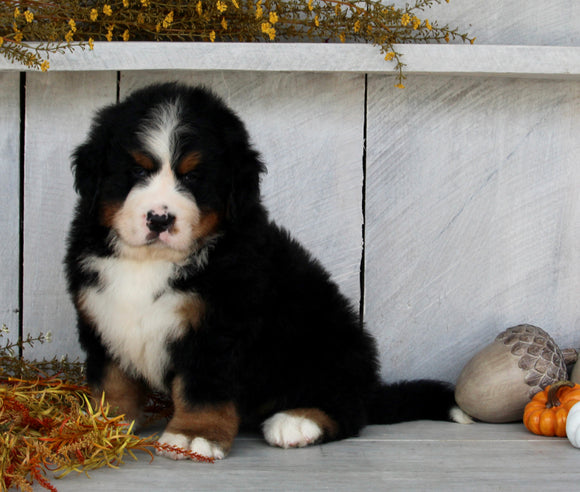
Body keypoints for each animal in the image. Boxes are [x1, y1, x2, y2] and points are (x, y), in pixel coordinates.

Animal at [64, 81, 472, 462]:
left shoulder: (217, 329)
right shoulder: (102, 318)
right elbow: (112, 381)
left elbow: (201, 389)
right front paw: (103, 427)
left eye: (194, 178)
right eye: (136, 170)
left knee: (349, 410)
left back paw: (296, 421)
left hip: (329, 341)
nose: (160, 218)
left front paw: (193, 436)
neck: (151, 262)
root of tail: (370, 386)